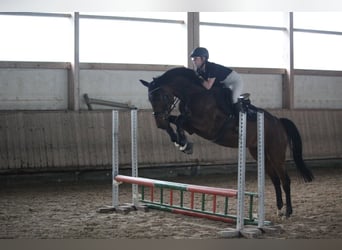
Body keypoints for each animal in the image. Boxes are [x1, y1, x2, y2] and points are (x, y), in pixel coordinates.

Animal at [140, 66, 314, 217]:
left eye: (163, 96)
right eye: (149, 99)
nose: (158, 123)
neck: (194, 95)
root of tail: (278, 122)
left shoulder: (206, 127)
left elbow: (180, 120)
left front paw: (184, 143)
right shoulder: (192, 125)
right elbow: (174, 120)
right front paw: (178, 141)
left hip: (276, 154)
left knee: (285, 180)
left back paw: (288, 212)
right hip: (259, 153)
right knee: (276, 179)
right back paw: (279, 209)